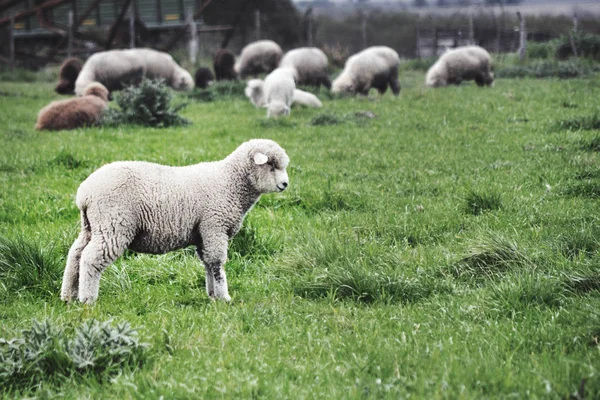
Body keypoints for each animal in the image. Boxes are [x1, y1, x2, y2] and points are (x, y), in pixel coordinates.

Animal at [62, 138, 292, 304]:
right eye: (271, 165)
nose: (285, 184)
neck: (230, 181)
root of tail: (84, 194)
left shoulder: (203, 233)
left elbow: (208, 263)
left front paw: (212, 295)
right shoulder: (214, 226)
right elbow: (217, 264)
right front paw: (224, 297)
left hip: (92, 226)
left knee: (75, 254)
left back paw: (68, 295)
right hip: (113, 224)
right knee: (90, 258)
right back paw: (87, 299)